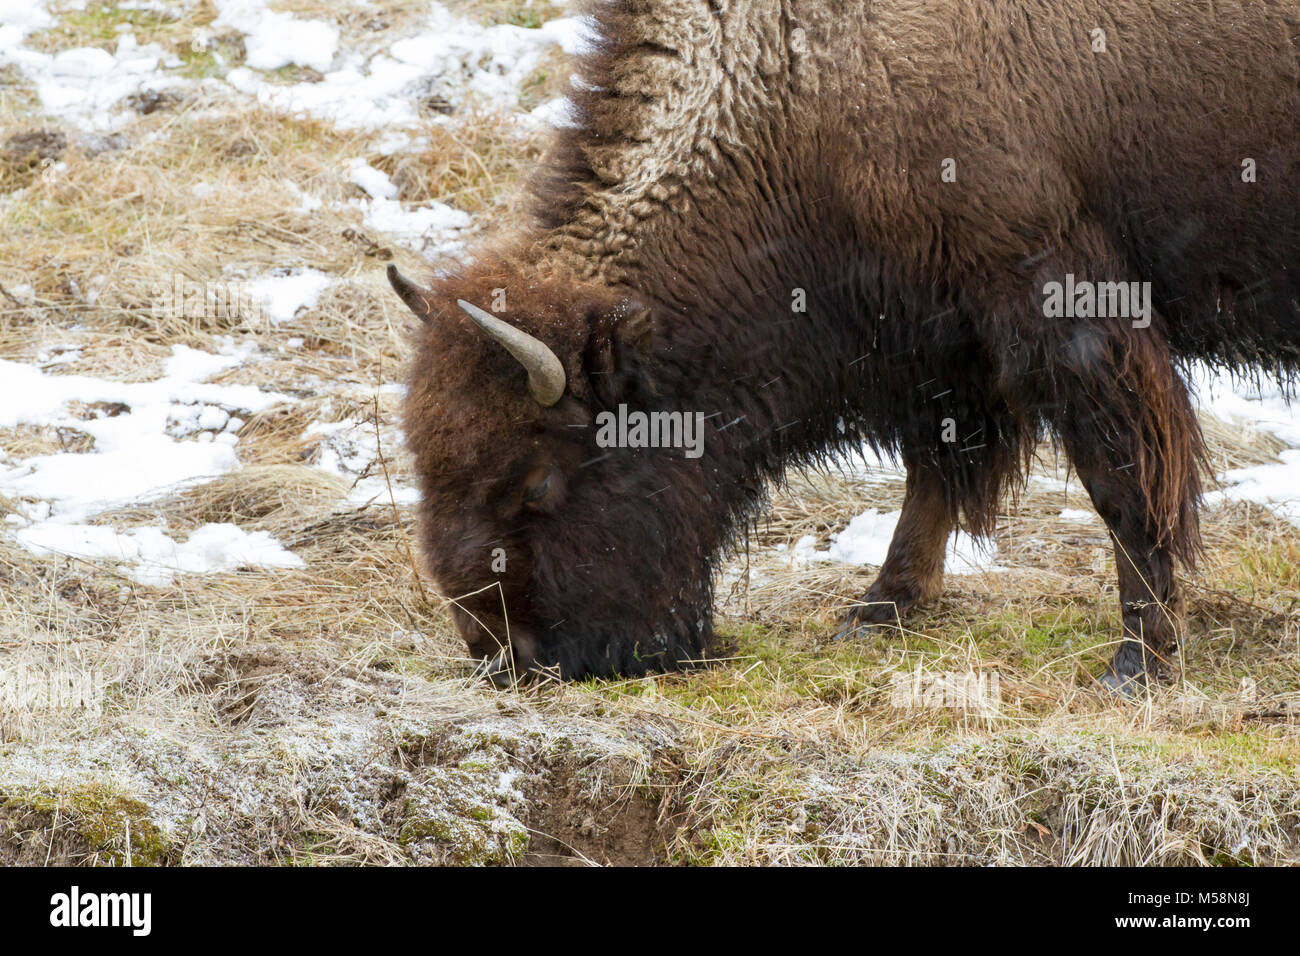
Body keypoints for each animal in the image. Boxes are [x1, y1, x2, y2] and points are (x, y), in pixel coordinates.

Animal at [390, 0, 1300, 691]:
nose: (504, 654)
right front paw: (878, 610)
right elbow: (933, 474)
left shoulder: (1062, 310)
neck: (796, 77)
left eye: (537, 483)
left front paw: (1139, 660)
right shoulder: (939, 338)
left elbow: (1123, 482)